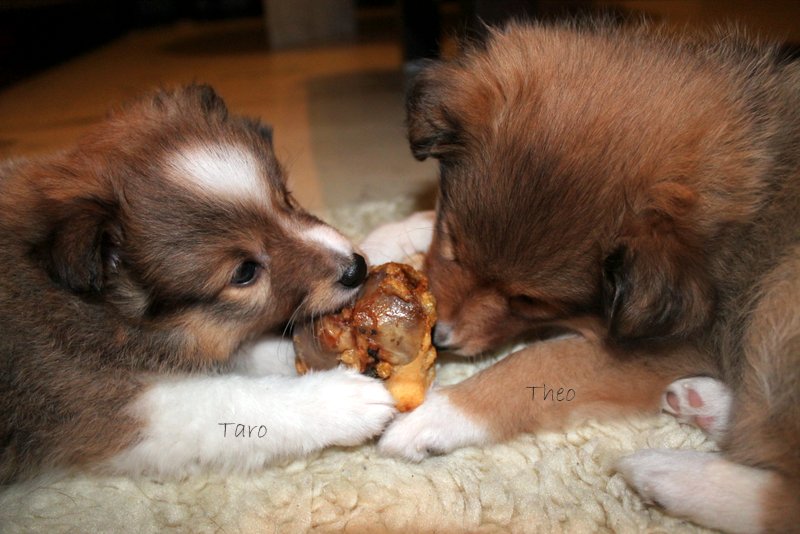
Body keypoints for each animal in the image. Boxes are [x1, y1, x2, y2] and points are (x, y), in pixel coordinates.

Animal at [0, 85, 397, 482]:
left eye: (286, 199)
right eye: (244, 272)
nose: (357, 269)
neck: (99, 317)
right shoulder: (106, 406)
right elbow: (231, 401)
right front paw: (342, 400)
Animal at [378, 22, 800, 533]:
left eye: (531, 302)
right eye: (453, 243)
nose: (440, 337)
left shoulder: (663, 348)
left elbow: (534, 364)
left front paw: (431, 417)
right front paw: (386, 233)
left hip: (781, 296)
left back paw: (668, 473)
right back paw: (707, 406)